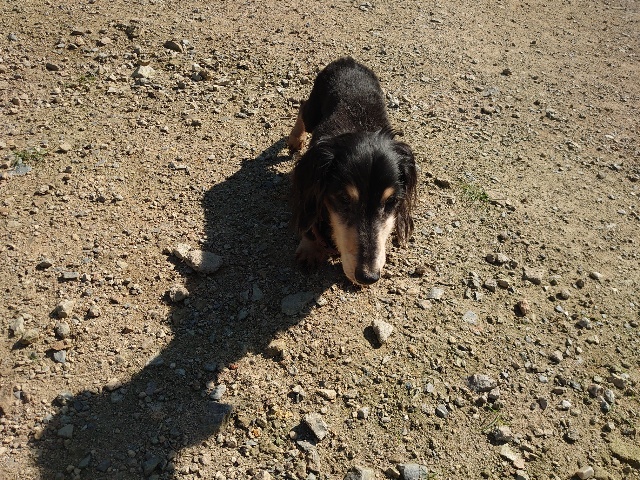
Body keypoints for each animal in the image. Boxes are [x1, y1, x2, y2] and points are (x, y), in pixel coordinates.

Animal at [288, 57, 417, 285]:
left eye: (392, 201)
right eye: (343, 199)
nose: (368, 277)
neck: (360, 129)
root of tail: (347, 60)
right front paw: (310, 249)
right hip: (313, 111)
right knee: (303, 107)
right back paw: (295, 138)